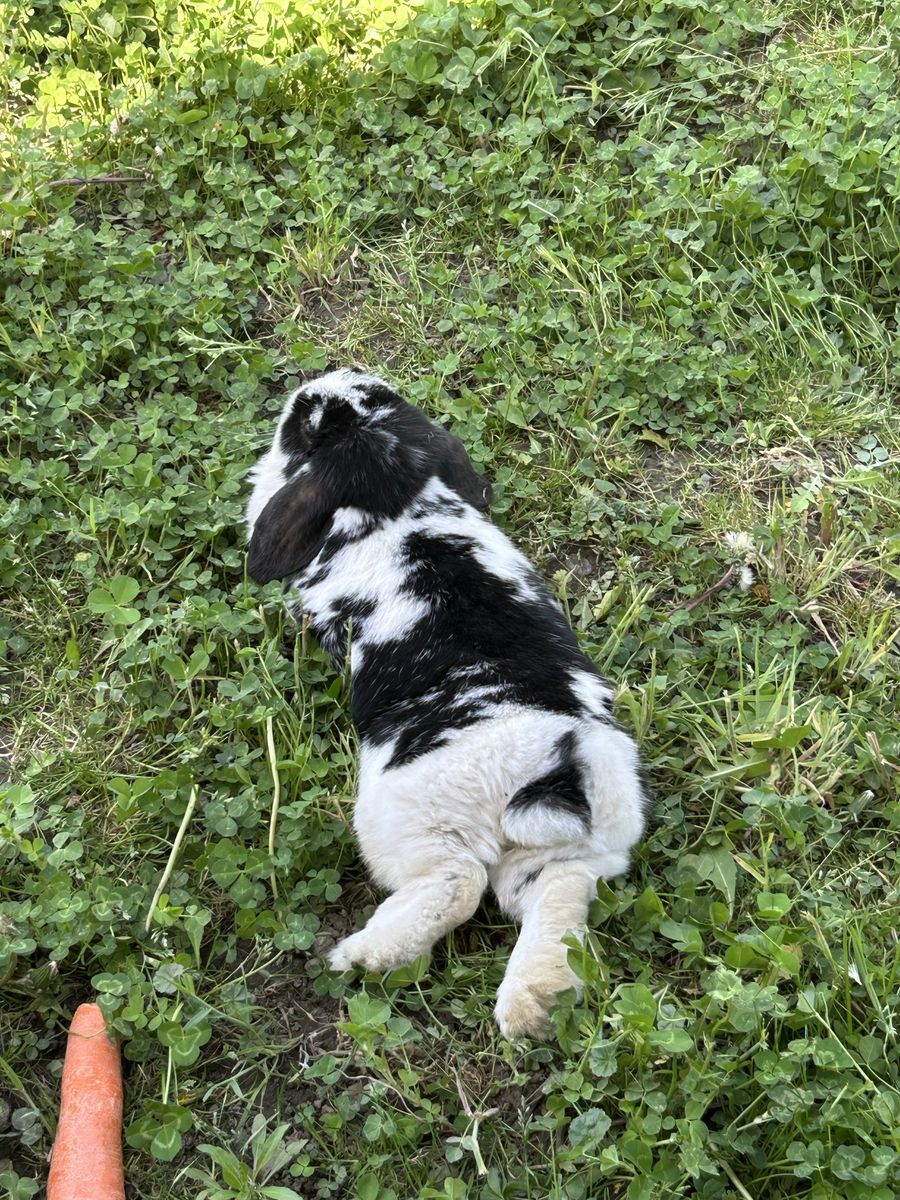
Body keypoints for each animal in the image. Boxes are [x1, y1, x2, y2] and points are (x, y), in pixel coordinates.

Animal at [245, 368, 646, 1038]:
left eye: (309, 423)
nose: (320, 381)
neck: (398, 507)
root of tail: (548, 769)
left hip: (411, 823)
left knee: (455, 886)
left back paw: (361, 956)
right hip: (561, 853)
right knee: (557, 897)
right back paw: (531, 1006)